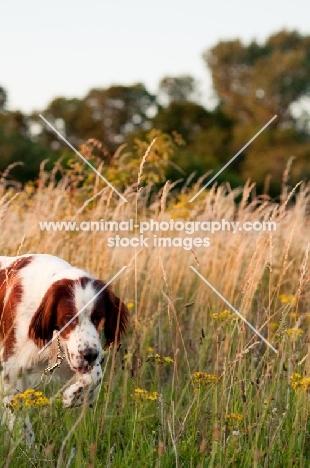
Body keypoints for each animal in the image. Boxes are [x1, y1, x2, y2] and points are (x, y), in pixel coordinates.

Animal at [0, 254, 128, 444]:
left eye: (97, 317)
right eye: (69, 318)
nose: (90, 355)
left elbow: (95, 375)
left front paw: (74, 396)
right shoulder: (12, 367)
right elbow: (19, 418)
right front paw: (27, 446)